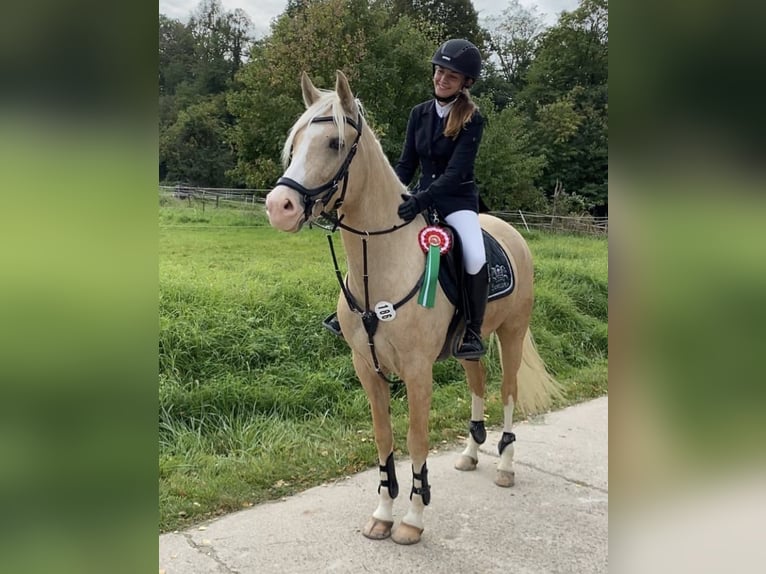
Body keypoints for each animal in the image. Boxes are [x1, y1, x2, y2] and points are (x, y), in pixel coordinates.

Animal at [268, 70, 560, 548]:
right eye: (295, 143)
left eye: (334, 143)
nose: (280, 207)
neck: (381, 266)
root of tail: (510, 232)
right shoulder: (367, 368)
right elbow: (384, 439)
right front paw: (383, 514)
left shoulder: (418, 371)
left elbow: (416, 440)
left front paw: (412, 519)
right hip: (469, 345)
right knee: (478, 383)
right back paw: (470, 453)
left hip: (512, 333)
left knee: (507, 392)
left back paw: (504, 464)